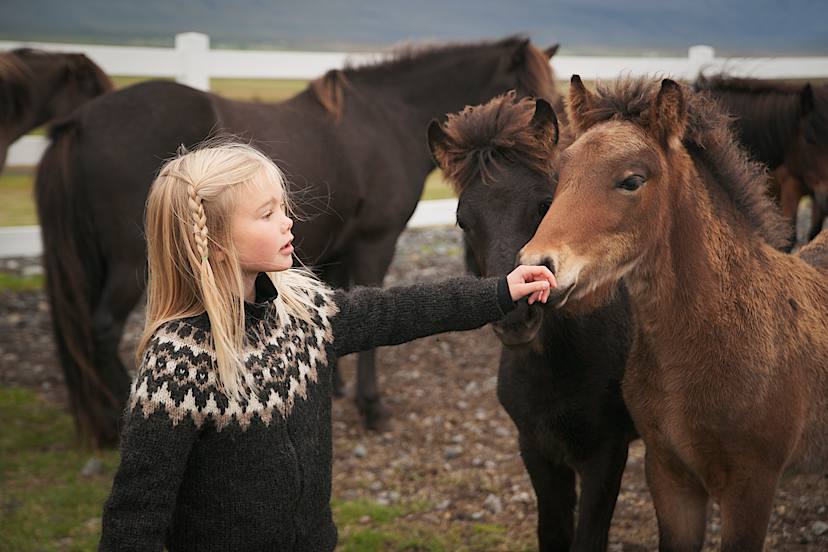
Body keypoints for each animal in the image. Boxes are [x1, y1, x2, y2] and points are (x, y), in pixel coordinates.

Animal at [427, 92, 636, 551]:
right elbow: (552, 534)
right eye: (463, 220)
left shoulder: (607, 453)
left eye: (545, 204)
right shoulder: (536, 449)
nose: (516, 315)